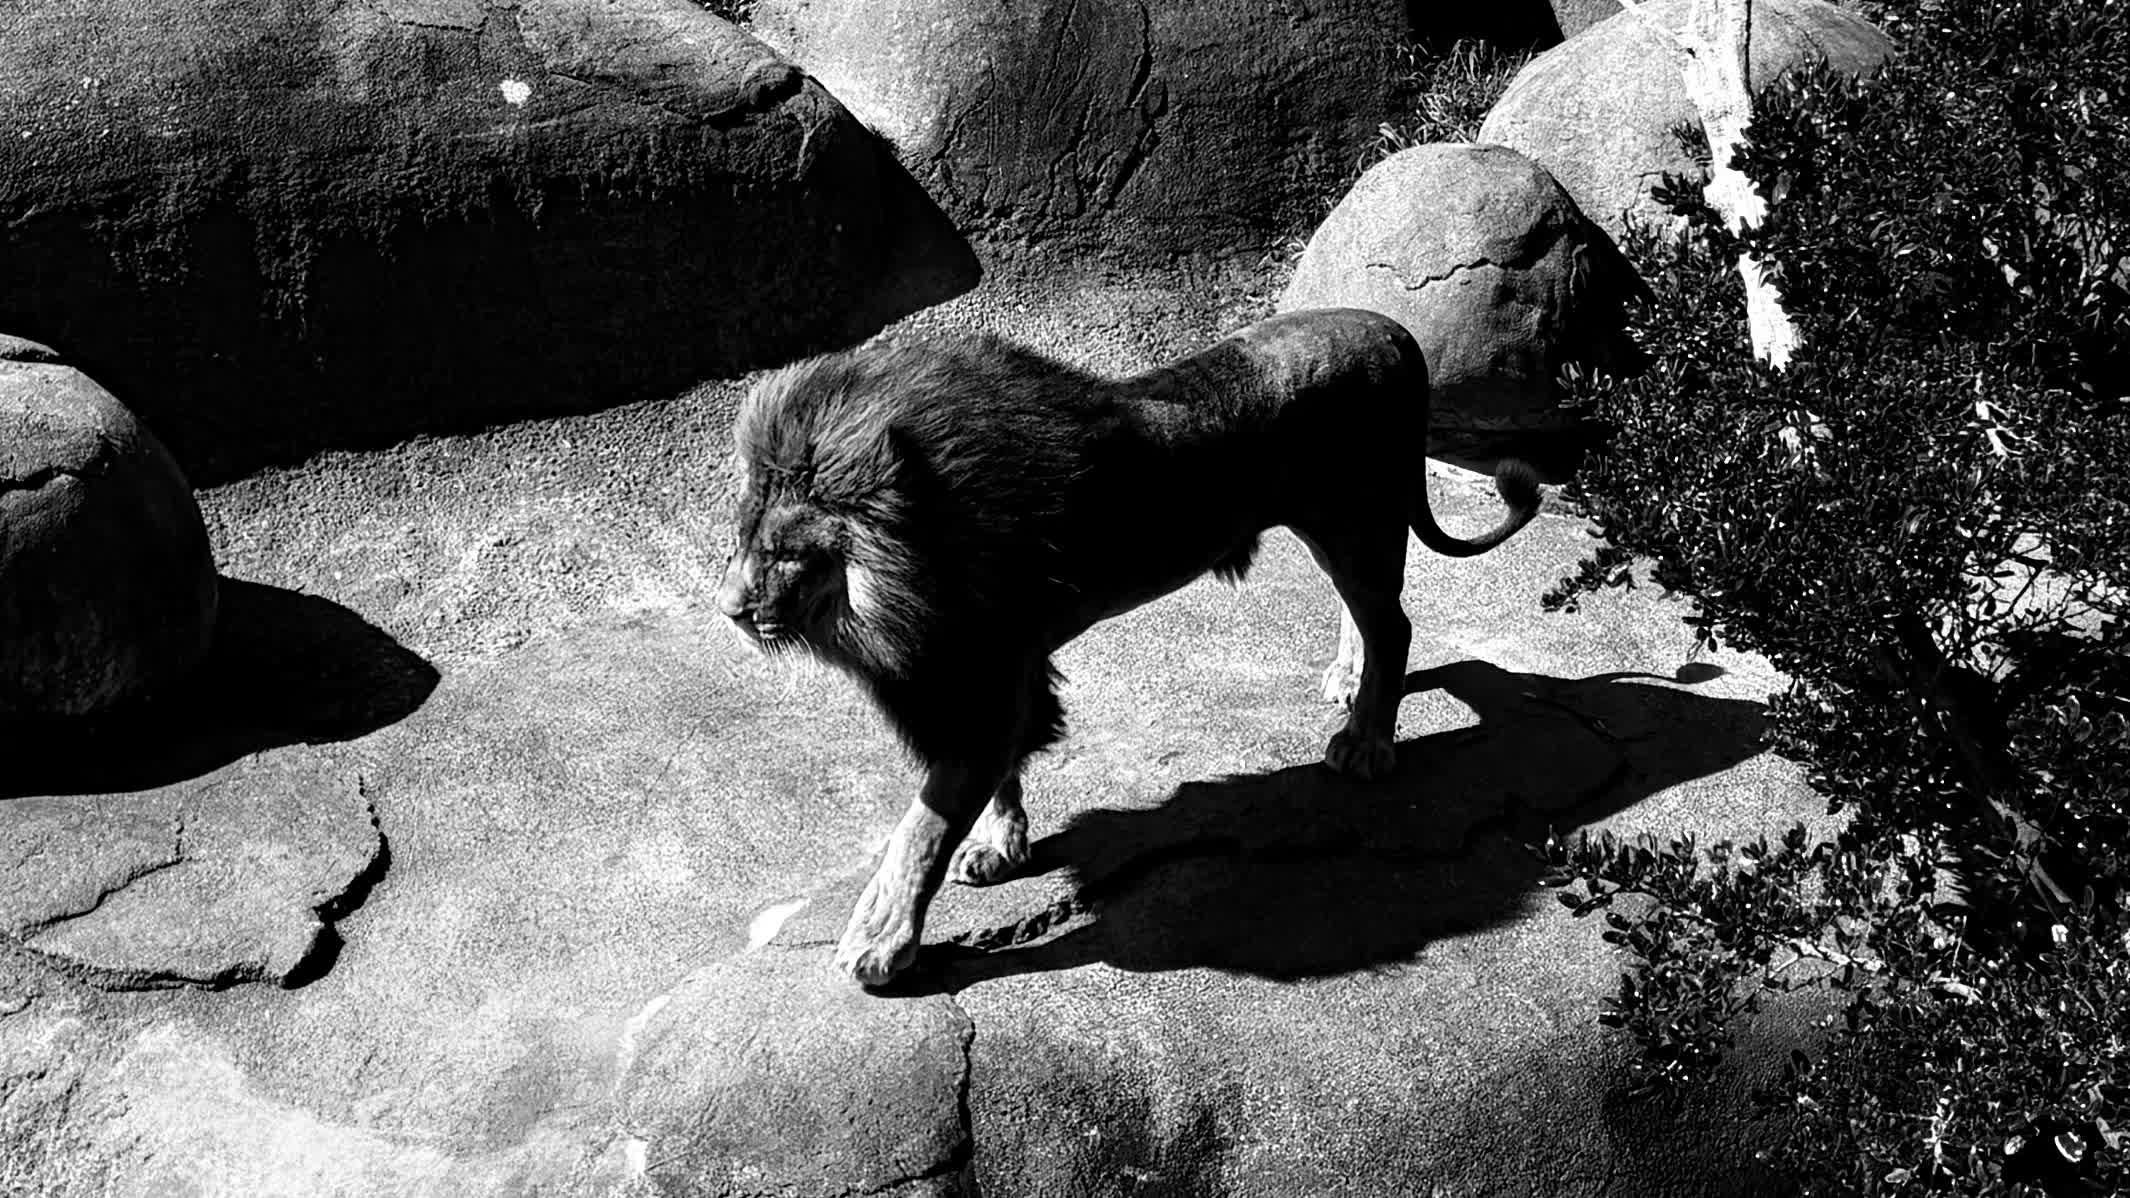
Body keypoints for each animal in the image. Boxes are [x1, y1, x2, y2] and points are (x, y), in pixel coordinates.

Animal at [715, 307, 1542, 986]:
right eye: (740, 538)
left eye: (784, 552)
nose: (728, 611)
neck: (910, 568)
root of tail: (1395, 331)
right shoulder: (999, 676)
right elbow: (998, 781)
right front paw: (1000, 846)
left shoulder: (982, 685)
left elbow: (920, 828)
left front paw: (879, 940)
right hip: (1339, 529)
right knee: (1371, 614)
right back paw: (1349, 679)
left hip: (1355, 517)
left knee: (1393, 624)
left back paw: (1367, 742)